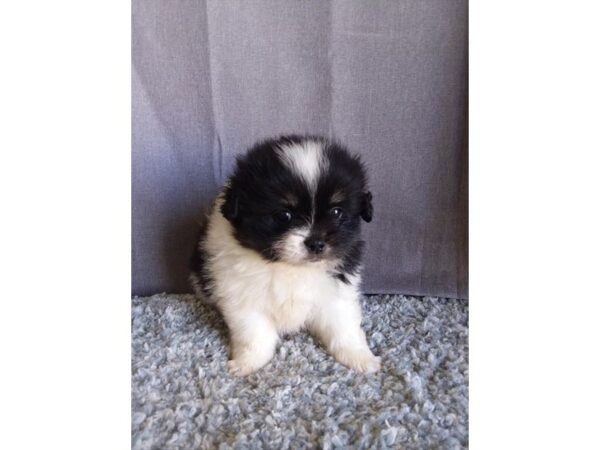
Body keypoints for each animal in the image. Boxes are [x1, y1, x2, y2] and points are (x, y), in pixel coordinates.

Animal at [191, 135, 380, 374]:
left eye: (337, 212)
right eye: (284, 215)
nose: (316, 243)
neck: (290, 267)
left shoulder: (336, 292)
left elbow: (344, 328)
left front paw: (360, 358)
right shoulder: (242, 298)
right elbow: (255, 335)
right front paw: (246, 364)